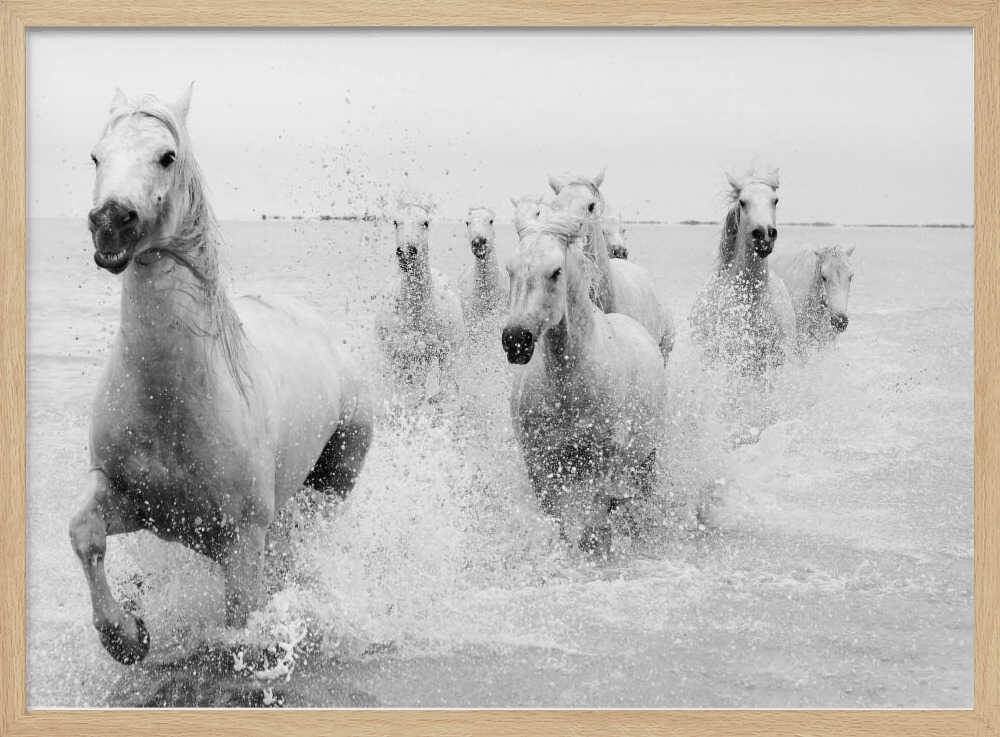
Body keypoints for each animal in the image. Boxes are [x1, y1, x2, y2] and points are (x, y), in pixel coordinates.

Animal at [69, 87, 373, 665]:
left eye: (167, 156)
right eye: (95, 155)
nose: (110, 221)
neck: (171, 398)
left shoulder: (242, 541)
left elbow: (240, 620)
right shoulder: (129, 499)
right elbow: (85, 534)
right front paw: (127, 635)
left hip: (335, 480)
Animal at [502, 212, 666, 553]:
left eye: (556, 271)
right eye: (510, 269)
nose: (515, 340)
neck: (569, 389)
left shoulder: (604, 465)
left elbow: (595, 522)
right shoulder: (540, 465)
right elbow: (560, 523)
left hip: (646, 457)